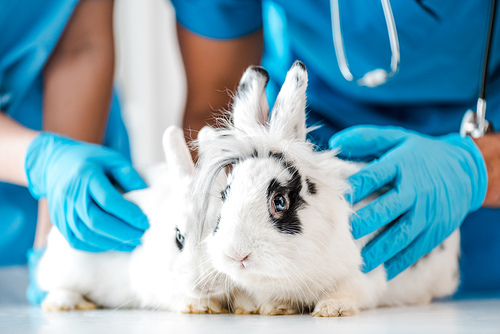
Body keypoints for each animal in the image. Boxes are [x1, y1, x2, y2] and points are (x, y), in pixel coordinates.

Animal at [195, 61, 460, 318]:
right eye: (224, 196)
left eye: (279, 201)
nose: (236, 253)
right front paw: (275, 308)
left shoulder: (361, 275)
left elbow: (346, 290)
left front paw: (331, 310)